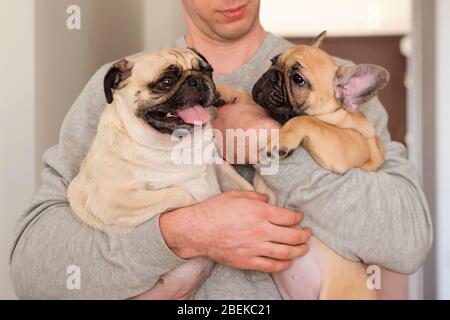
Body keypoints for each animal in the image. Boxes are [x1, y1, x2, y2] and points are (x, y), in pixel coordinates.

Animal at [68, 48, 255, 298]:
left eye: (207, 71)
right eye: (166, 82)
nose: (197, 80)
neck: (177, 144)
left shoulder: (217, 165)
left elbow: (245, 186)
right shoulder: (111, 201)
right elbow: (180, 193)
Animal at [215, 31, 390, 298]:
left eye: (298, 79)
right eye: (273, 61)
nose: (271, 75)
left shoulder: (353, 143)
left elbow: (306, 122)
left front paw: (282, 140)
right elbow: (254, 104)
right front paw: (224, 91)